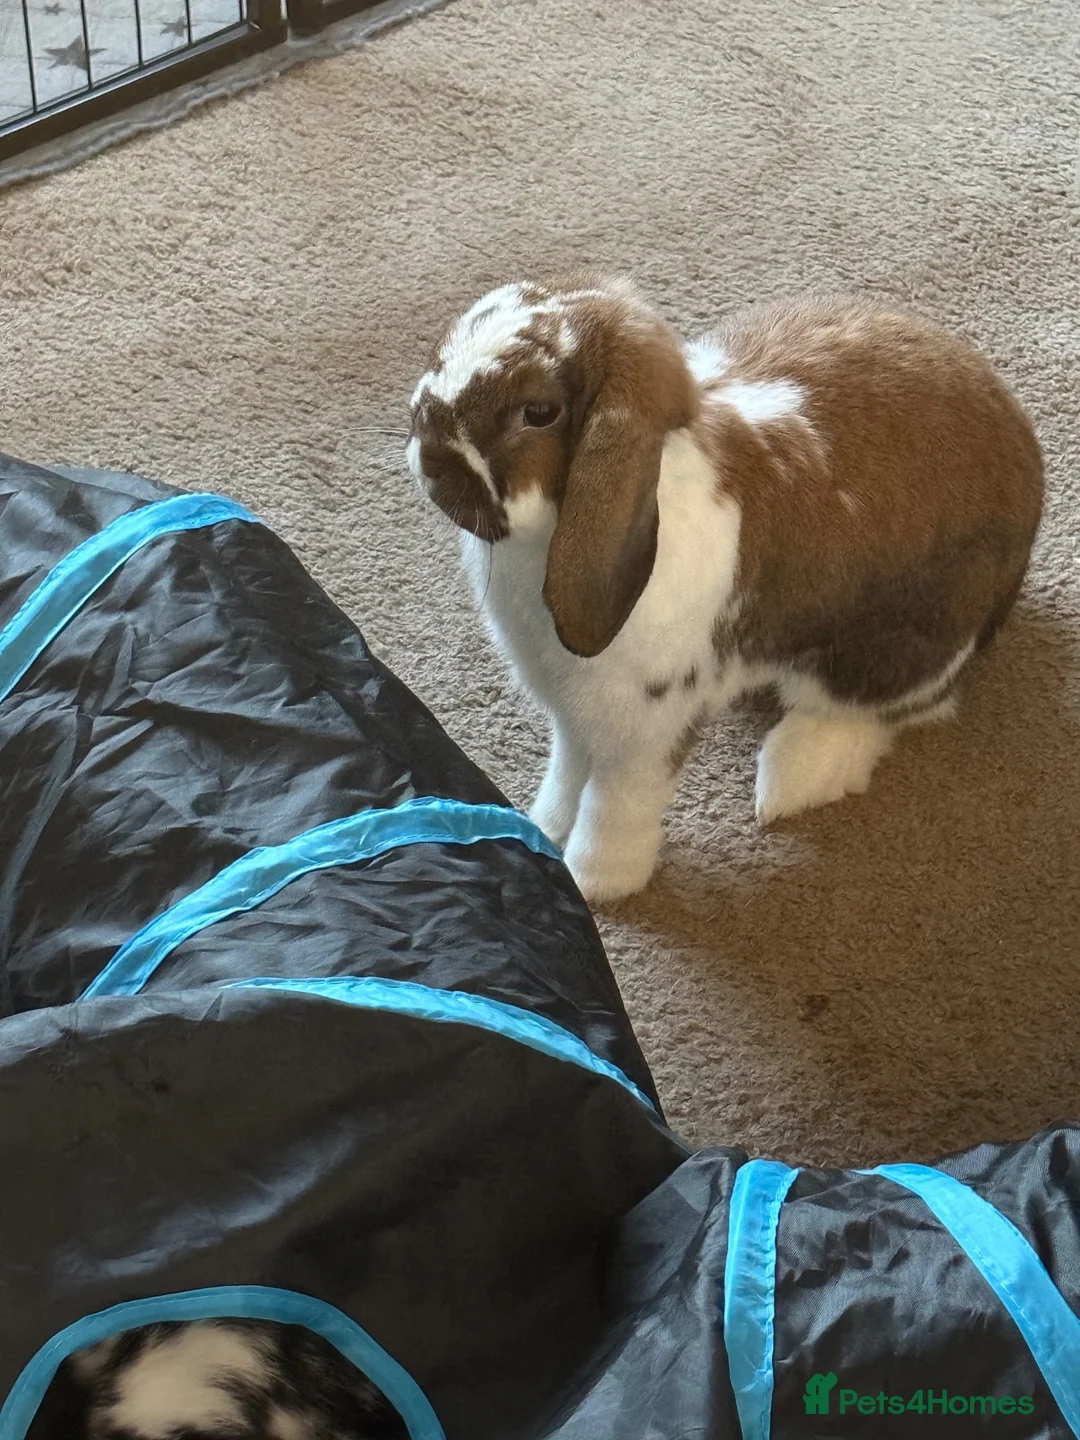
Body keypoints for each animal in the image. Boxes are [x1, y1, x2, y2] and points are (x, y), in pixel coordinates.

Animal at [406, 276, 1043, 903]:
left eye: (538, 412)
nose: (430, 456)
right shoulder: (573, 713)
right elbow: (567, 775)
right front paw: (544, 830)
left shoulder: (643, 727)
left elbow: (615, 806)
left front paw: (594, 884)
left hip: (899, 646)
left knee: (885, 709)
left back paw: (793, 778)